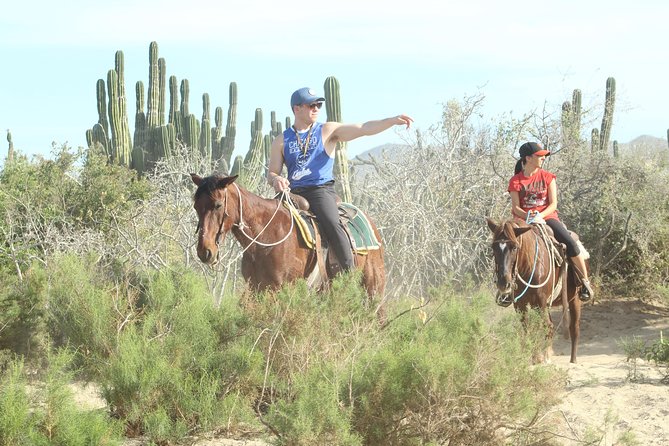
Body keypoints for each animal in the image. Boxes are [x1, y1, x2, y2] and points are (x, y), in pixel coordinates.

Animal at [188, 172, 386, 312]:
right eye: (196, 206)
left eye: (218, 205)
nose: (205, 251)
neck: (266, 237)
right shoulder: (255, 288)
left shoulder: (282, 289)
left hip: (374, 286)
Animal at [486, 219, 580, 362]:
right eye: (493, 247)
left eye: (514, 247)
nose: (504, 283)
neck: (528, 267)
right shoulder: (520, 304)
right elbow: (528, 327)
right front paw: (532, 356)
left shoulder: (539, 302)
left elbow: (541, 326)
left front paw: (541, 356)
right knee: (551, 325)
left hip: (574, 299)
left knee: (573, 327)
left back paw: (572, 359)